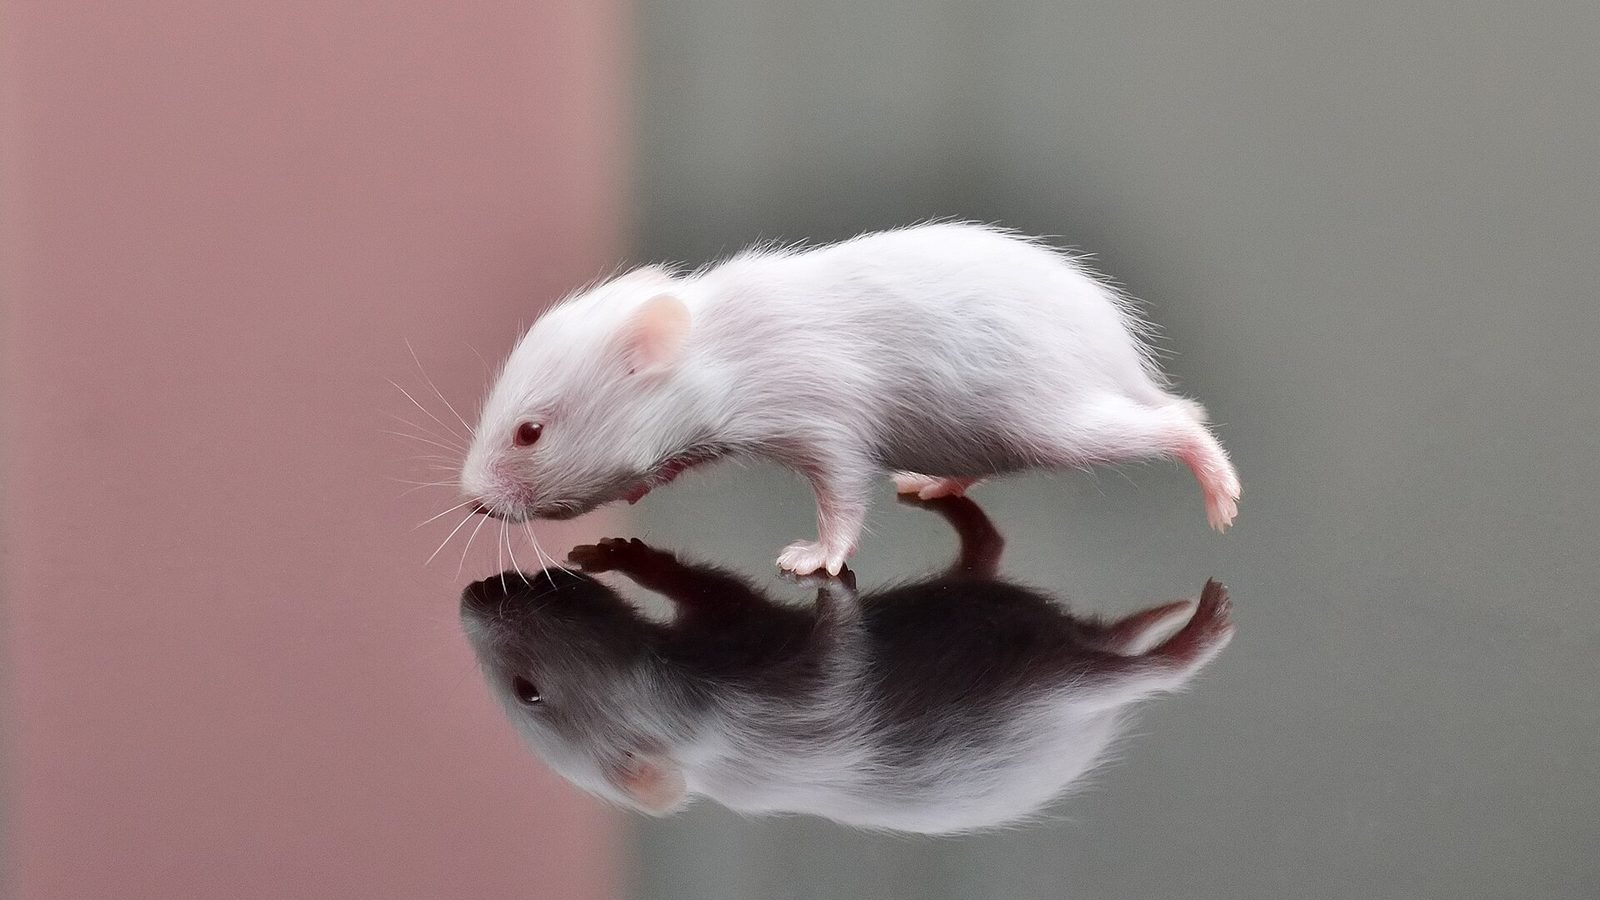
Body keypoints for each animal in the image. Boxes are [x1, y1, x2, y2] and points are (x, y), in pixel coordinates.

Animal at [459, 221, 1240, 575]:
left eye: (528, 432)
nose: (471, 499)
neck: (712, 348)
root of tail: (1119, 353)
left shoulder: (822, 417)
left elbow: (842, 490)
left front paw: (816, 557)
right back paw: (935, 483)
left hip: (1052, 419)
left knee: (1178, 419)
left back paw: (1218, 488)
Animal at [459, 497, 1235, 834]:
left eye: (526, 692)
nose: (469, 599)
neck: (692, 745)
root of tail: (1090, 714)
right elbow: (710, 592)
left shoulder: (739, 660)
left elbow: (708, 586)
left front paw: (622, 552)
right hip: (1036, 657)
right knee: (989, 553)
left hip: (1048, 685)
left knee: (1143, 674)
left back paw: (1197, 634)